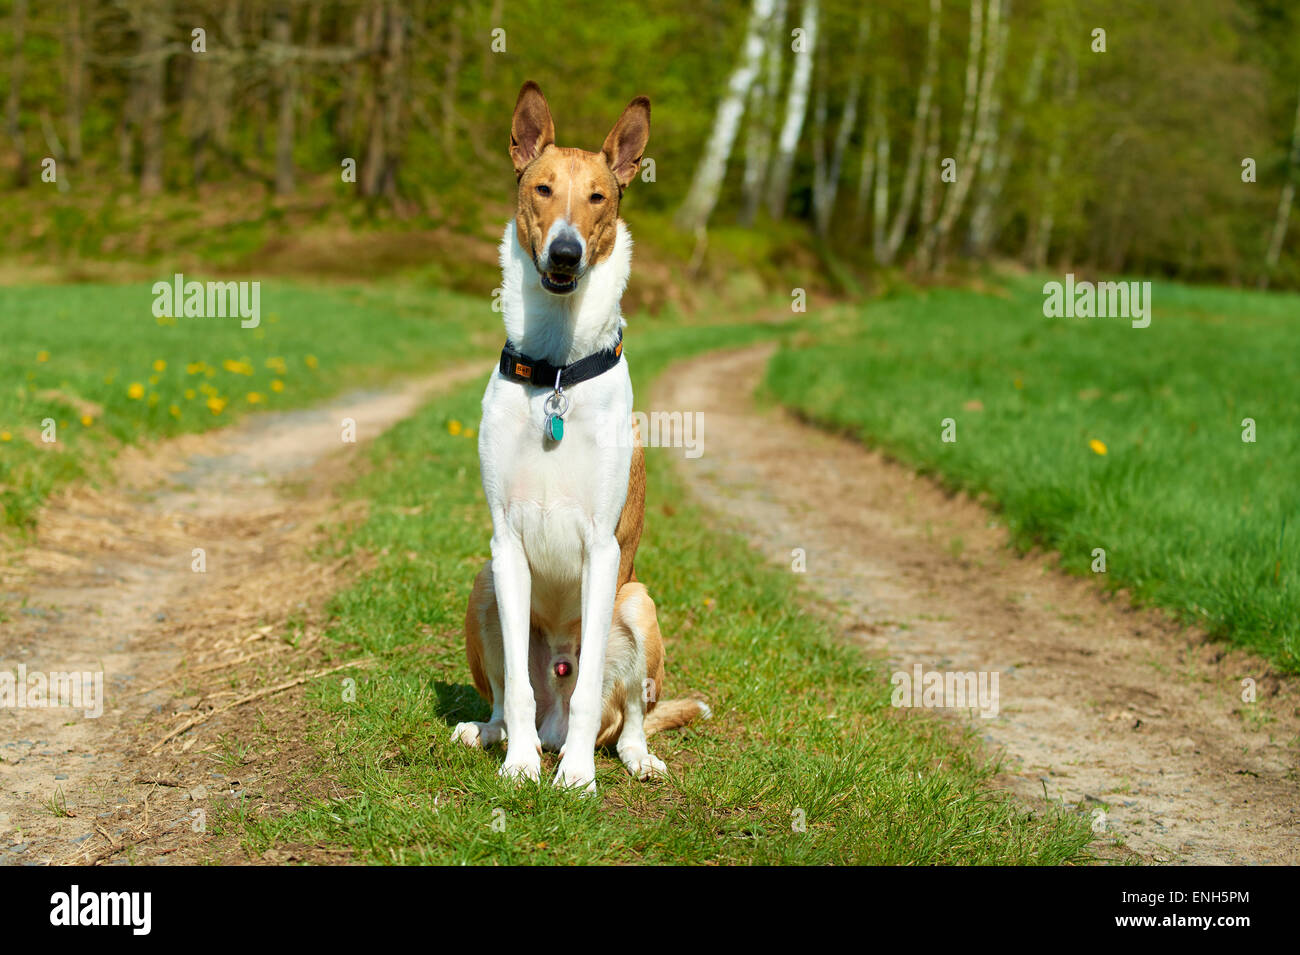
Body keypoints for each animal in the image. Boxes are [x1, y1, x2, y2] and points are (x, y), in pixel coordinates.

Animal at [449, 82, 712, 795]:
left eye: (598, 196)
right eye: (542, 189)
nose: (565, 253)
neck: (558, 371)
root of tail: (555, 725)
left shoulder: (601, 546)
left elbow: (594, 681)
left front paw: (576, 778)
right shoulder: (505, 544)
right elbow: (516, 685)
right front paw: (518, 768)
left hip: (638, 604)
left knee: (626, 718)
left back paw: (624, 757)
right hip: (482, 586)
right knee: (508, 700)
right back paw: (495, 736)